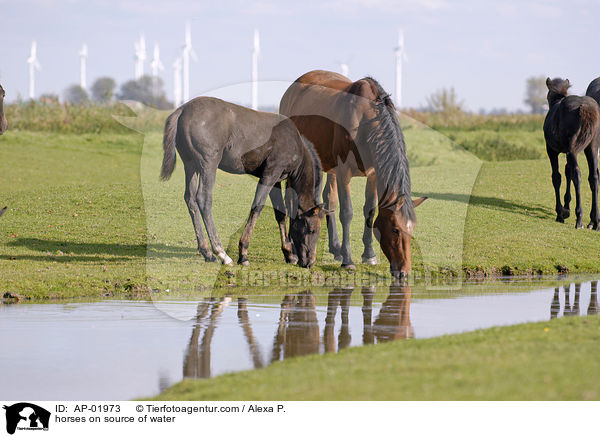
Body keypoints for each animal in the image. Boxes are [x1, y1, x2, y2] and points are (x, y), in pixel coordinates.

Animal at [159, 97, 326, 268]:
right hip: (208, 165)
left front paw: (289, 253)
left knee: (190, 199)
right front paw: (243, 253)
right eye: (312, 229)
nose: (310, 262)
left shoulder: (276, 180)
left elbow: (280, 212)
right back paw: (221, 253)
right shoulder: (270, 174)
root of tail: (182, 110)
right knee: (203, 200)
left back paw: (207, 252)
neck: (294, 141)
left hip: (190, 165)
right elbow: (257, 207)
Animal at [282, 70, 426, 278]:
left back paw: (335, 249)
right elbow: (347, 212)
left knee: (328, 199)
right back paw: (293, 250)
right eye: (395, 230)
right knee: (290, 200)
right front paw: (348, 261)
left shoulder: (373, 174)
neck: (365, 120)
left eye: (412, 228)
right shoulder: (344, 173)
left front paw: (369, 255)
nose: (404, 271)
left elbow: (370, 210)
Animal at [544, 78, 600, 228]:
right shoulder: (567, 152)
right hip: (591, 147)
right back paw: (595, 221)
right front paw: (566, 208)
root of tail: (585, 107)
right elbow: (567, 171)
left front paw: (560, 213)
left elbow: (557, 177)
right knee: (594, 177)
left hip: (573, 150)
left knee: (577, 174)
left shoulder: (552, 151)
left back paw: (579, 218)